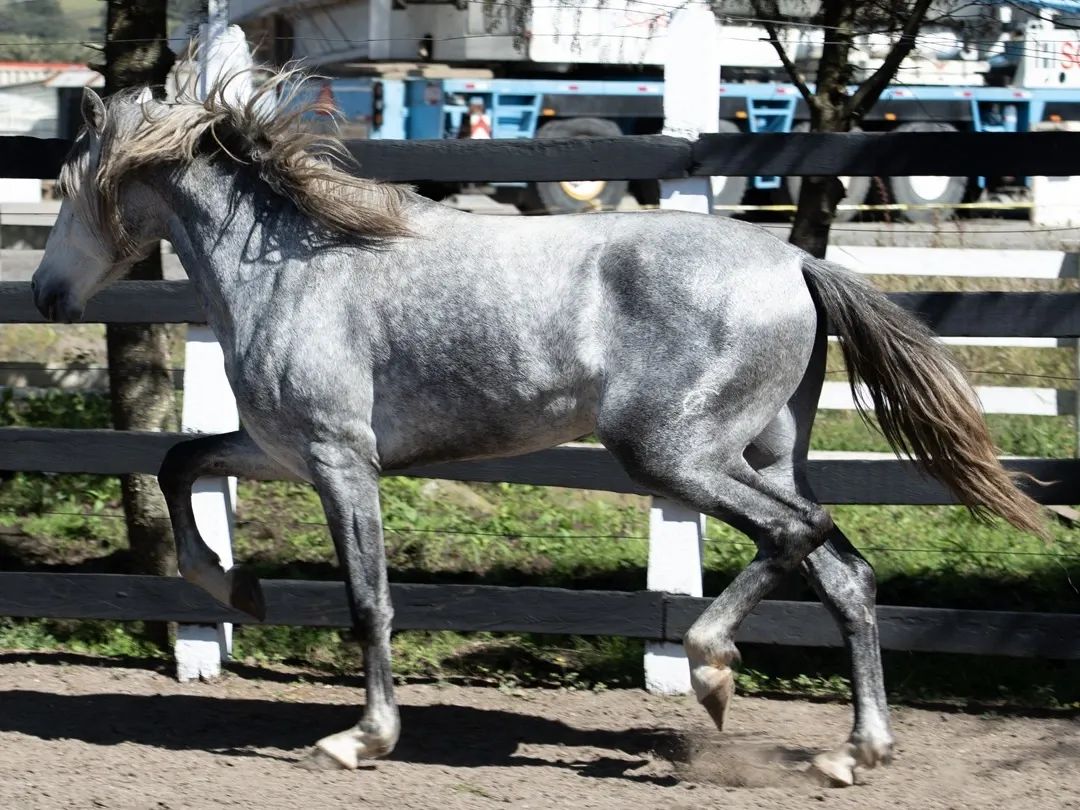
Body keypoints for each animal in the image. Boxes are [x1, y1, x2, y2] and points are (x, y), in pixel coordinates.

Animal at [30, 75, 1044, 786]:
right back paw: (851, 753)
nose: (44, 295)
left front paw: (361, 739)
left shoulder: (338, 458)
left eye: (73, 185)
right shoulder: (280, 448)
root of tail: (795, 261)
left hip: (672, 454)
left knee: (798, 538)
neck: (291, 265)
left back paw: (712, 671)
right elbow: (179, 462)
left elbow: (368, 603)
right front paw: (236, 591)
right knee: (844, 573)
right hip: (761, 454)